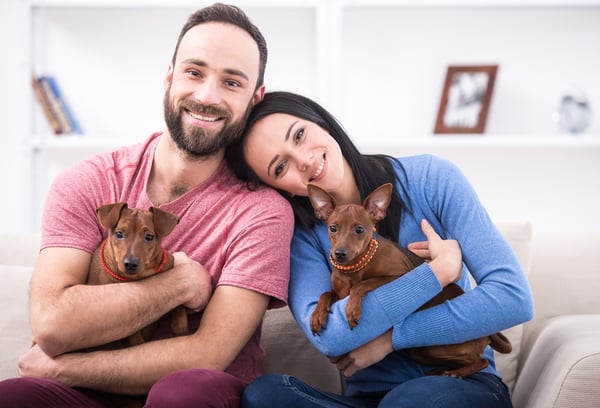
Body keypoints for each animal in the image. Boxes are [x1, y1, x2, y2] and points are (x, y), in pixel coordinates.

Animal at [87, 202, 188, 346]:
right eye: (119, 234)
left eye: (149, 237)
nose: (130, 264)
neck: (143, 274)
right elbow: (136, 339)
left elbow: (180, 310)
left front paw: (181, 330)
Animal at [310, 183, 510, 378]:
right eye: (333, 228)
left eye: (359, 229)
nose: (339, 254)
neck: (354, 268)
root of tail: (490, 335)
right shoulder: (339, 293)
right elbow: (325, 293)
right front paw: (317, 315)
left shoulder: (398, 276)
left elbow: (361, 284)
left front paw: (352, 309)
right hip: (422, 352)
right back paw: (440, 371)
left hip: (438, 347)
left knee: (480, 361)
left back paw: (456, 374)